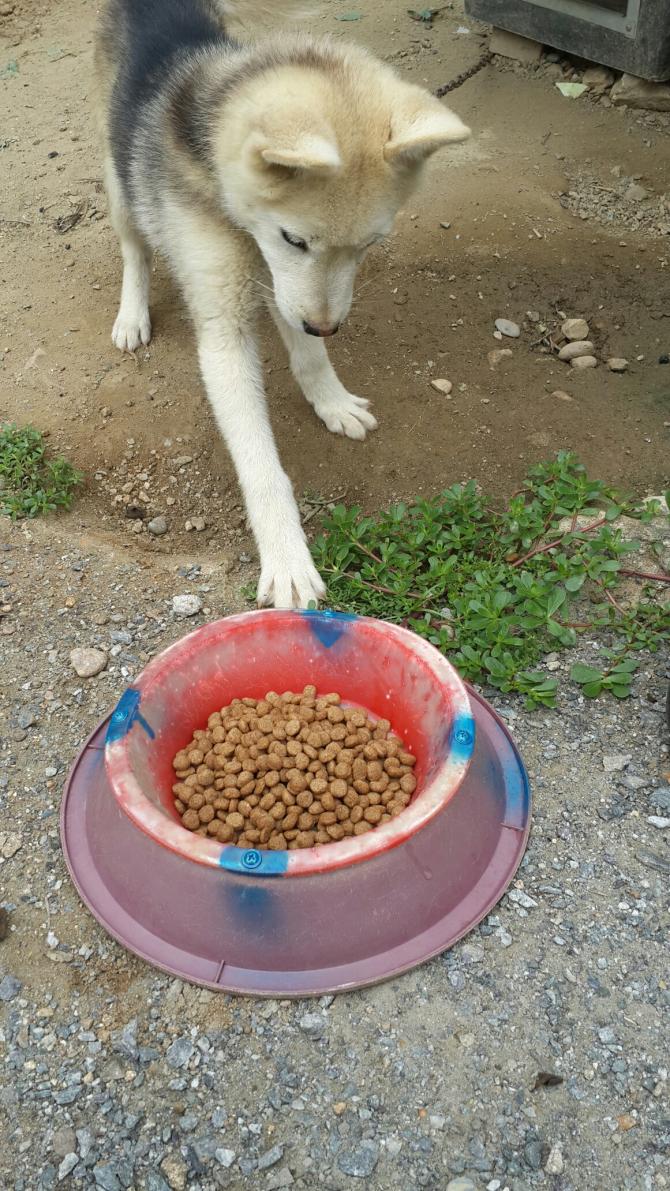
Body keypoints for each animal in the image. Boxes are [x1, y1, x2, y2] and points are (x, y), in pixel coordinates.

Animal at [95, 0, 471, 609]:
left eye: (369, 245)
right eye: (294, 239)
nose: (328, 327)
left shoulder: (289, 292)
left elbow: (310, 358)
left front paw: (332, 401)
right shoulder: (227, 330)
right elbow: (261, 464)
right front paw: (287, 557)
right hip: (116, 176)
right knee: (134, 246)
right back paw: (133, 313)